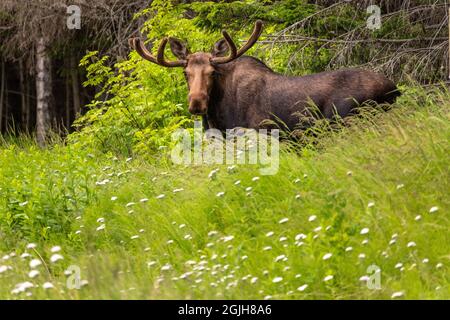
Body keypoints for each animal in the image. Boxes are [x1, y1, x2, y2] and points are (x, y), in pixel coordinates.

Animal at [128, 20, 400, 131]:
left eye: (212, 72)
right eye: (185, 72)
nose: (196, 103)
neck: (218, 114)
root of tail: (394, 89)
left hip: (348, 120)